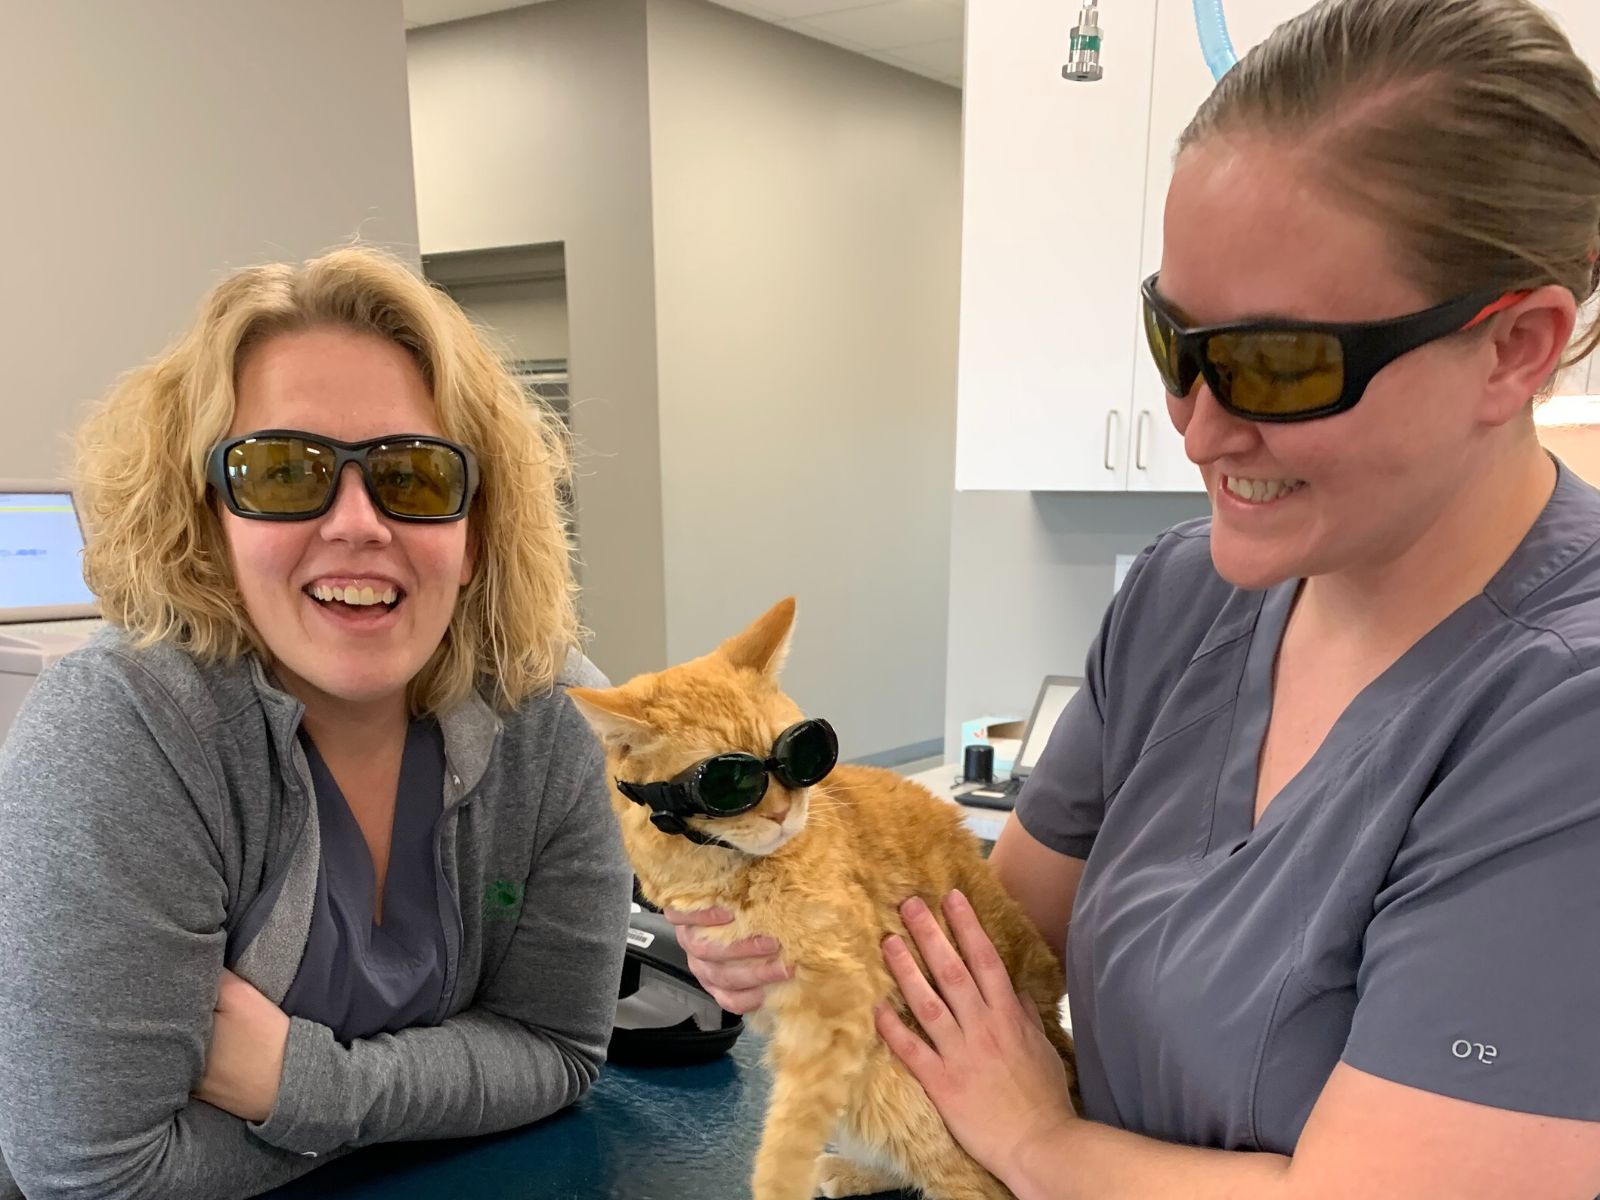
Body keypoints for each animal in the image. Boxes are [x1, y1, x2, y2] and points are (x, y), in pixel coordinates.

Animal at [569, 601, 1081, 1200]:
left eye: (798, 755)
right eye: (728, 783)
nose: (781, 812)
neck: (720, 870)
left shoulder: (836, 1000)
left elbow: (791, 1127)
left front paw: (776, 1185)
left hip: (891, 1081)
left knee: (974, 1180)